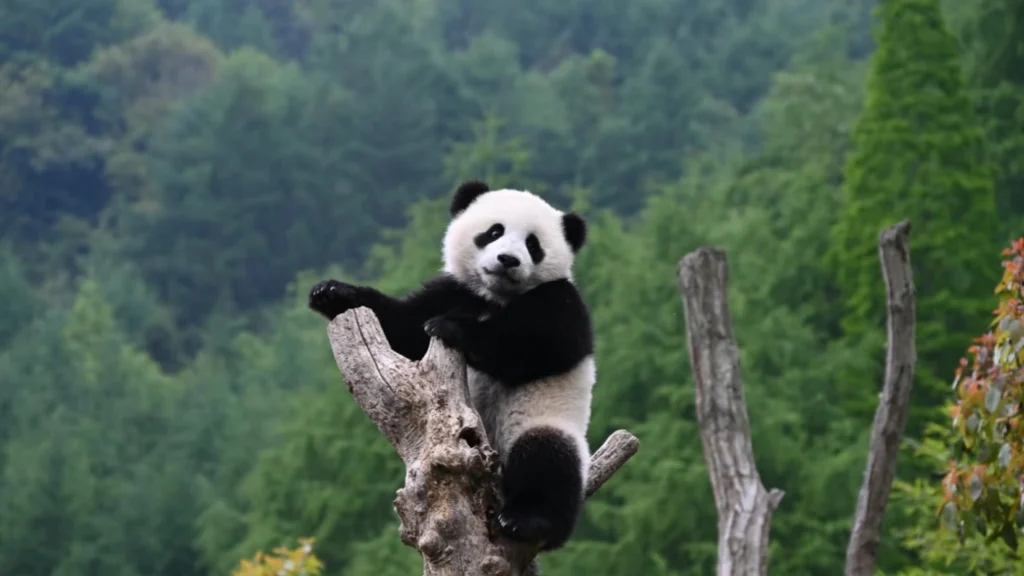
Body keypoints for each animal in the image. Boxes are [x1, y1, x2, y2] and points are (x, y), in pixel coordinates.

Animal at [308, 180, 595, 552]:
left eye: (533, 244)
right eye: (494, 231)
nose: (508, 260)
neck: (493, 297)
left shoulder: (560, 301)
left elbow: (544, 345)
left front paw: (451, 327)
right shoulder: (452, 290)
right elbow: (402, 326)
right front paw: (331, 292)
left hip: (544, 419)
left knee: (548, 460)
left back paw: (528, 521)